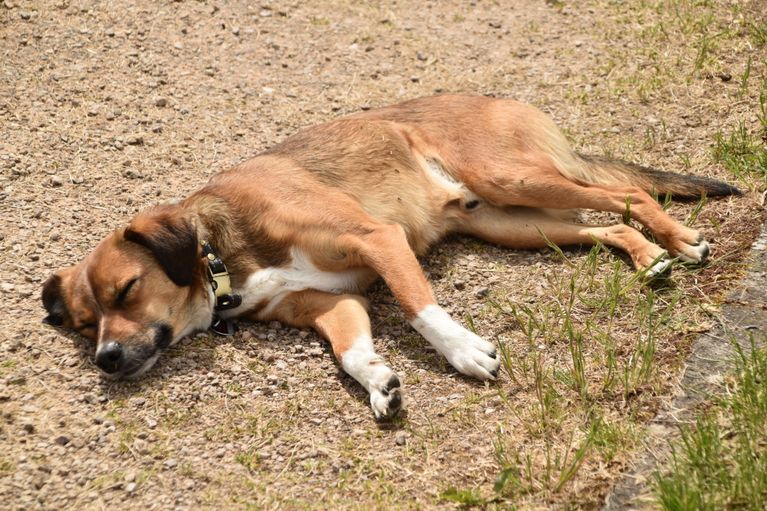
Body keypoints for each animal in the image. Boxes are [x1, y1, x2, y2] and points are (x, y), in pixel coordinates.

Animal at [40, 95, 736, 420]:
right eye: (85, 324)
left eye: (127, 290)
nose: (105, 360)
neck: (220, 253)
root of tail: (495, 98)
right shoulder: (334, 304)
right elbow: (351, 352)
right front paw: (380, 382)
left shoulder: (378, 240)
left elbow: (421, 307)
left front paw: (465, 352)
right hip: (511, 224)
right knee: (605, 226)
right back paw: (648, 257)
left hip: (513, 179)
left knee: (627, 194)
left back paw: (678, 240)